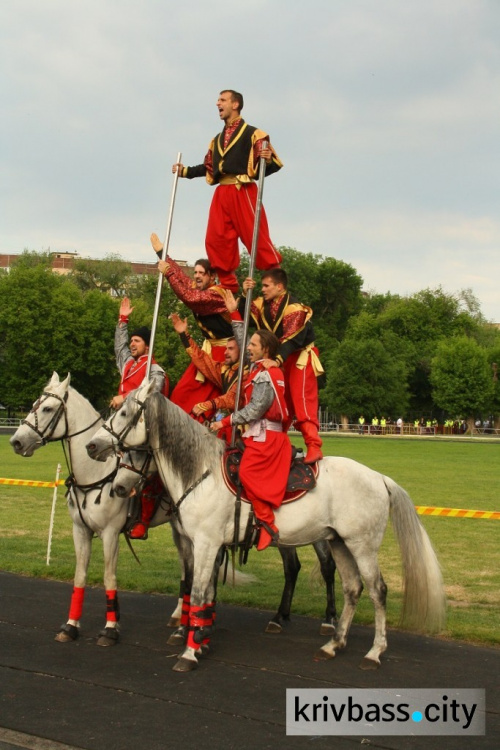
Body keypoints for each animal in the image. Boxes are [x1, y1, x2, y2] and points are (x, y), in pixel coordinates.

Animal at [86, 382, 446, 676]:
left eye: (124, 413)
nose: (92, 446)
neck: (200, 472)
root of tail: (379, 477)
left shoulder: (206, 544)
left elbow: (199, 592)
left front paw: (189, 652)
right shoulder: (201, 545)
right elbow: (201, 592)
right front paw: (198, 639)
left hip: (362, 545)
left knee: (377, 590)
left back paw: (373, 652)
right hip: (339, 542)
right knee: (352, 588)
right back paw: (335, 644)